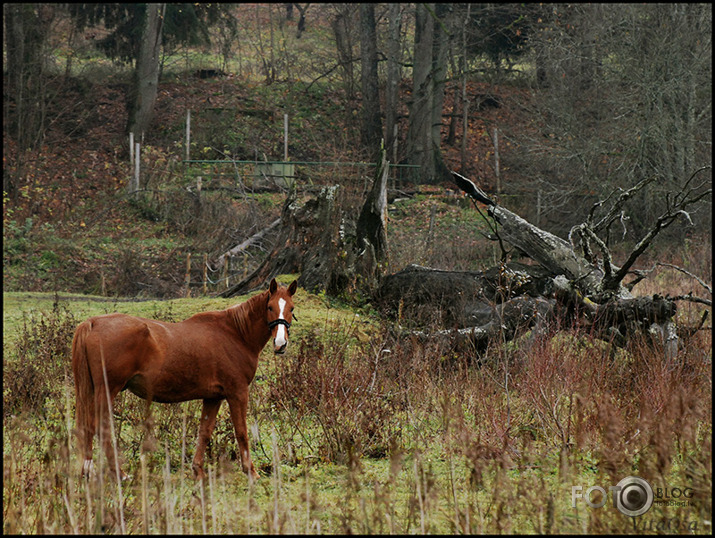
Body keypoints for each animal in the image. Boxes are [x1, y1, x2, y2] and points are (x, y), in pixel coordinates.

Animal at [72, 278, 296, 480]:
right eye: (269, 307)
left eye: (291, 308)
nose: (281, 343)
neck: (235, 334)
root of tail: (93, 322)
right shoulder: (238, 393)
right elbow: (241, 432)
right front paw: (251, 471)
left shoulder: (213, 397)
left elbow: (204, 432)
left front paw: (197, 470)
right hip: (108, 390)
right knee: (101, 429)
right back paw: (119, 473)